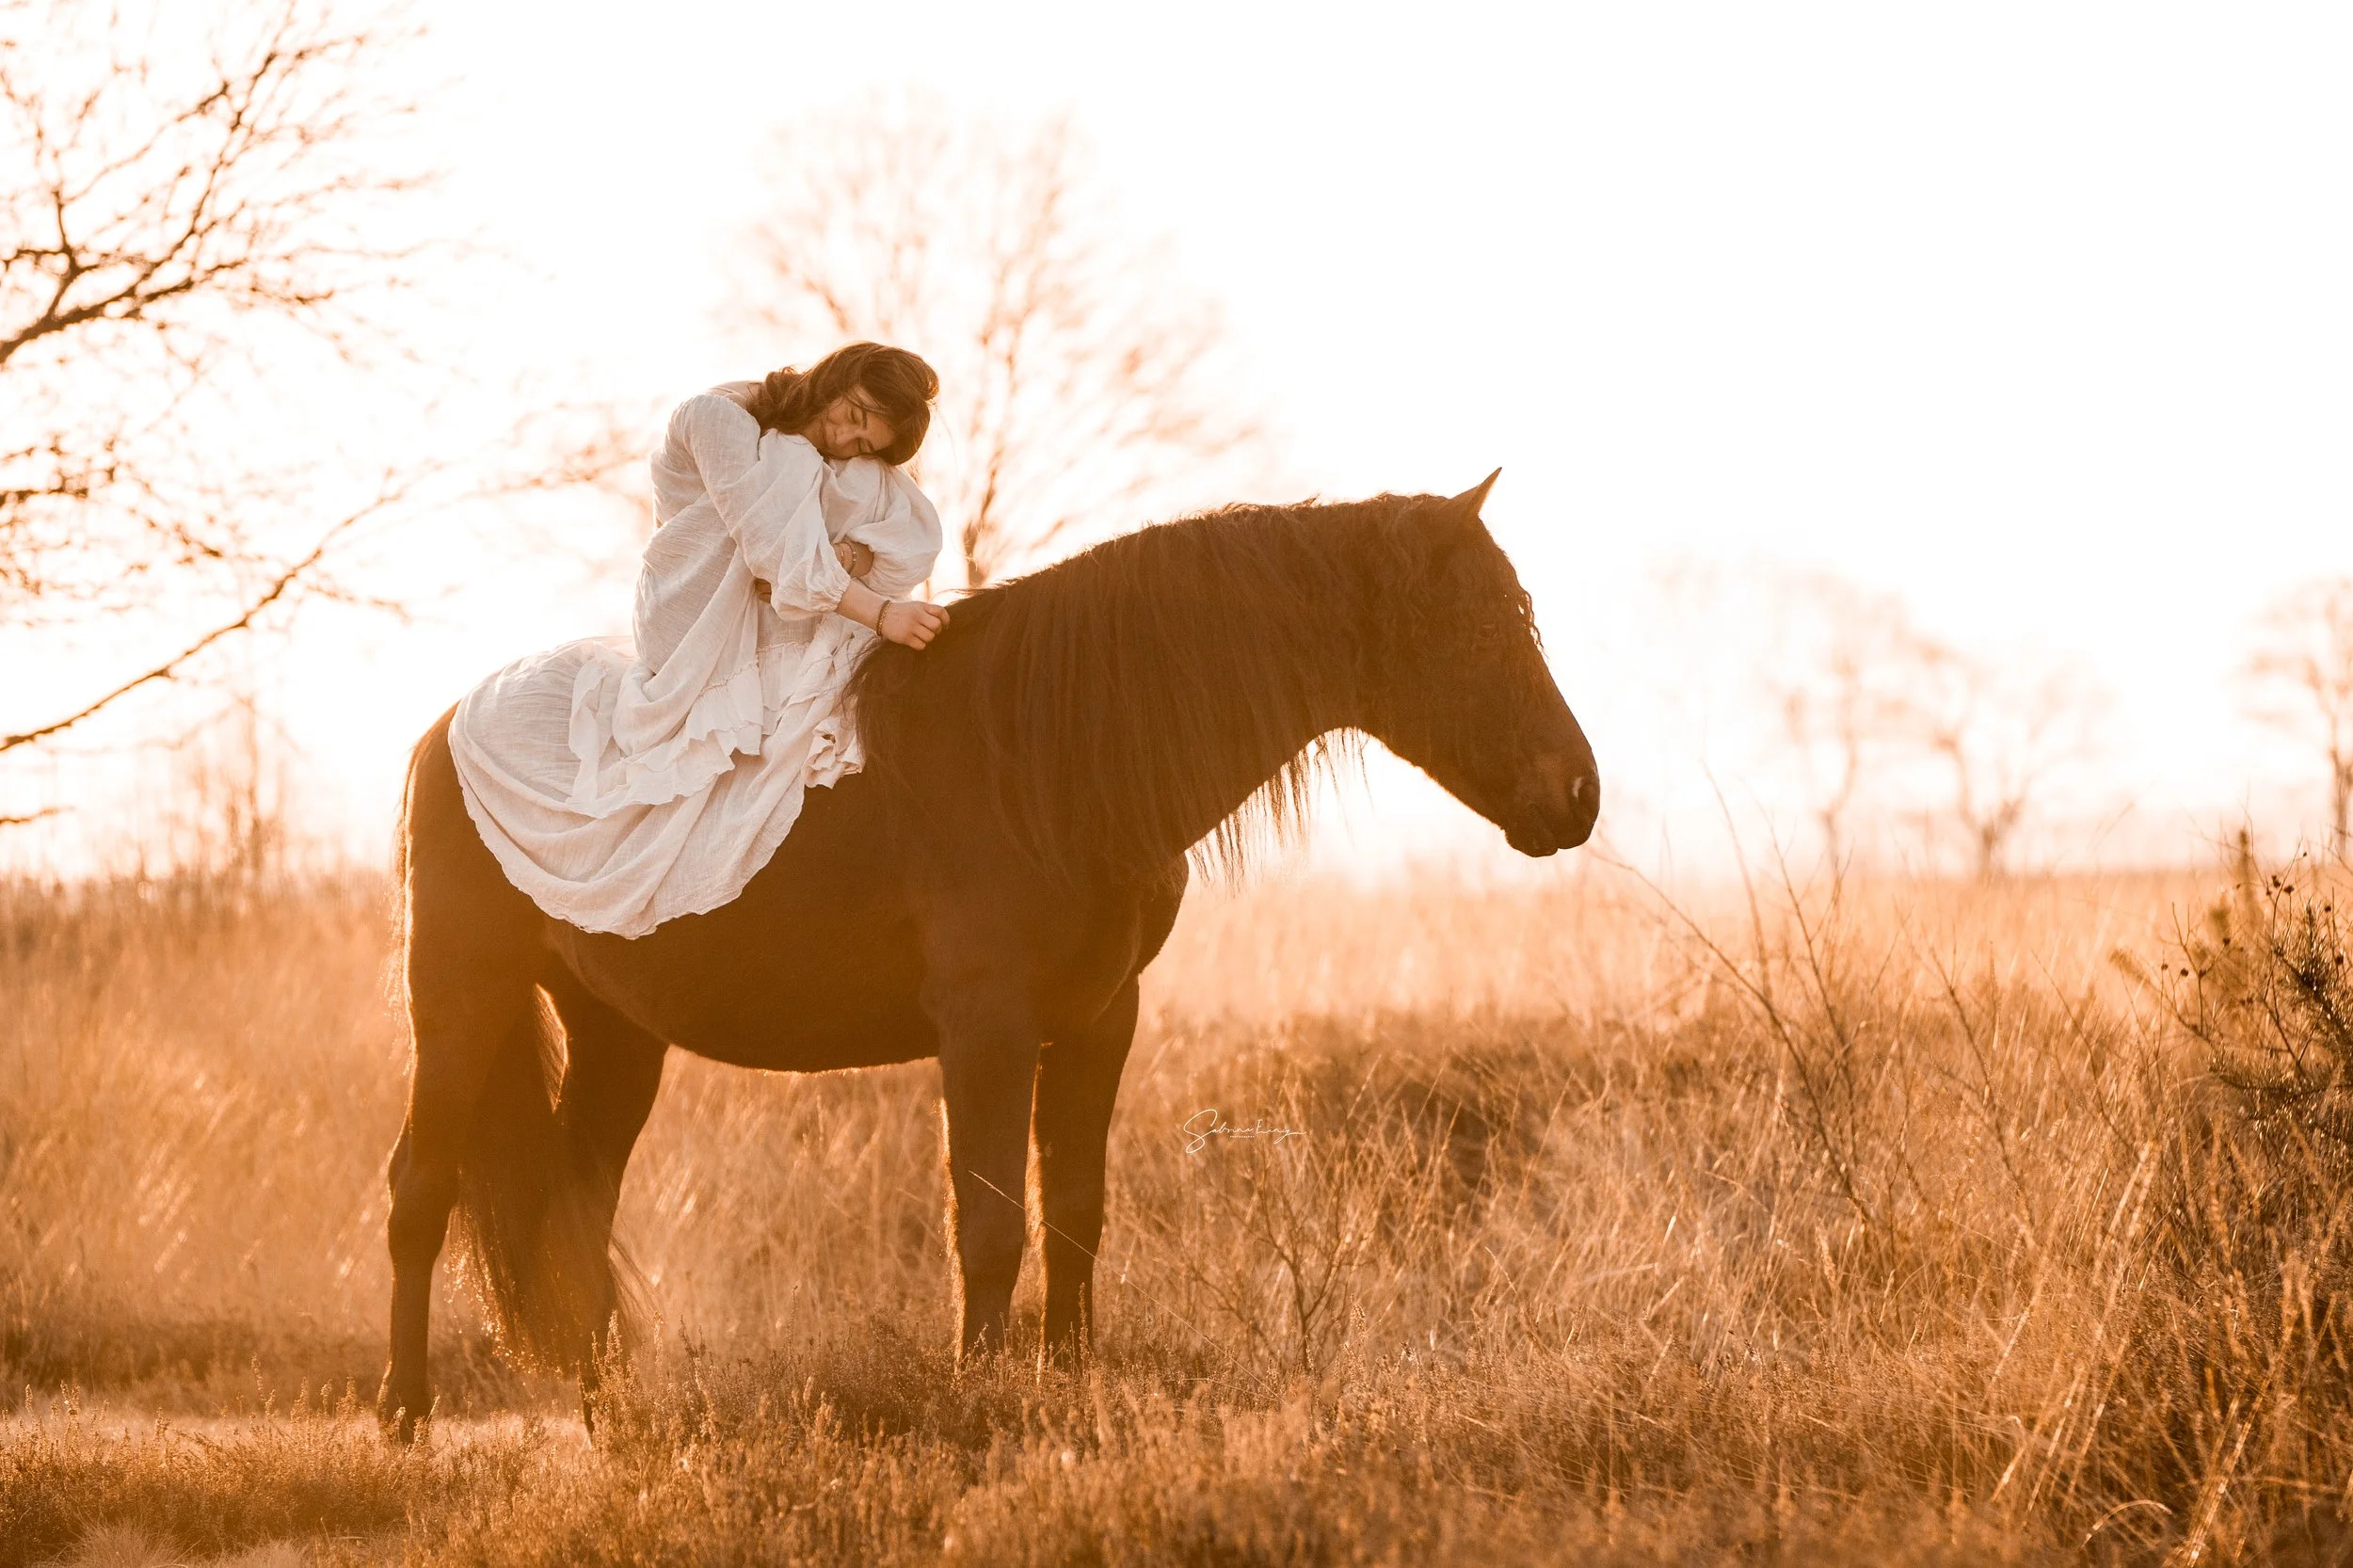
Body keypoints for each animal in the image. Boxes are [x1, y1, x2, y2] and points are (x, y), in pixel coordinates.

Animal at [377, 473, 1599, 1437]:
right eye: (1476, 629)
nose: (1578, 794)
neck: (1049, 759)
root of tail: (445, 725)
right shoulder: (987, 1031)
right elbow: (992, 1224)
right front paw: (982, 1392)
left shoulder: (1100, 1023)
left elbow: (1075, 1216)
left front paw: (1067, 1383)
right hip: (460, 996)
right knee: (419, 1188)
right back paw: (404, 1410)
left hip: (616, 1031)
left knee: (573, 1206)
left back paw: (606, 1406)